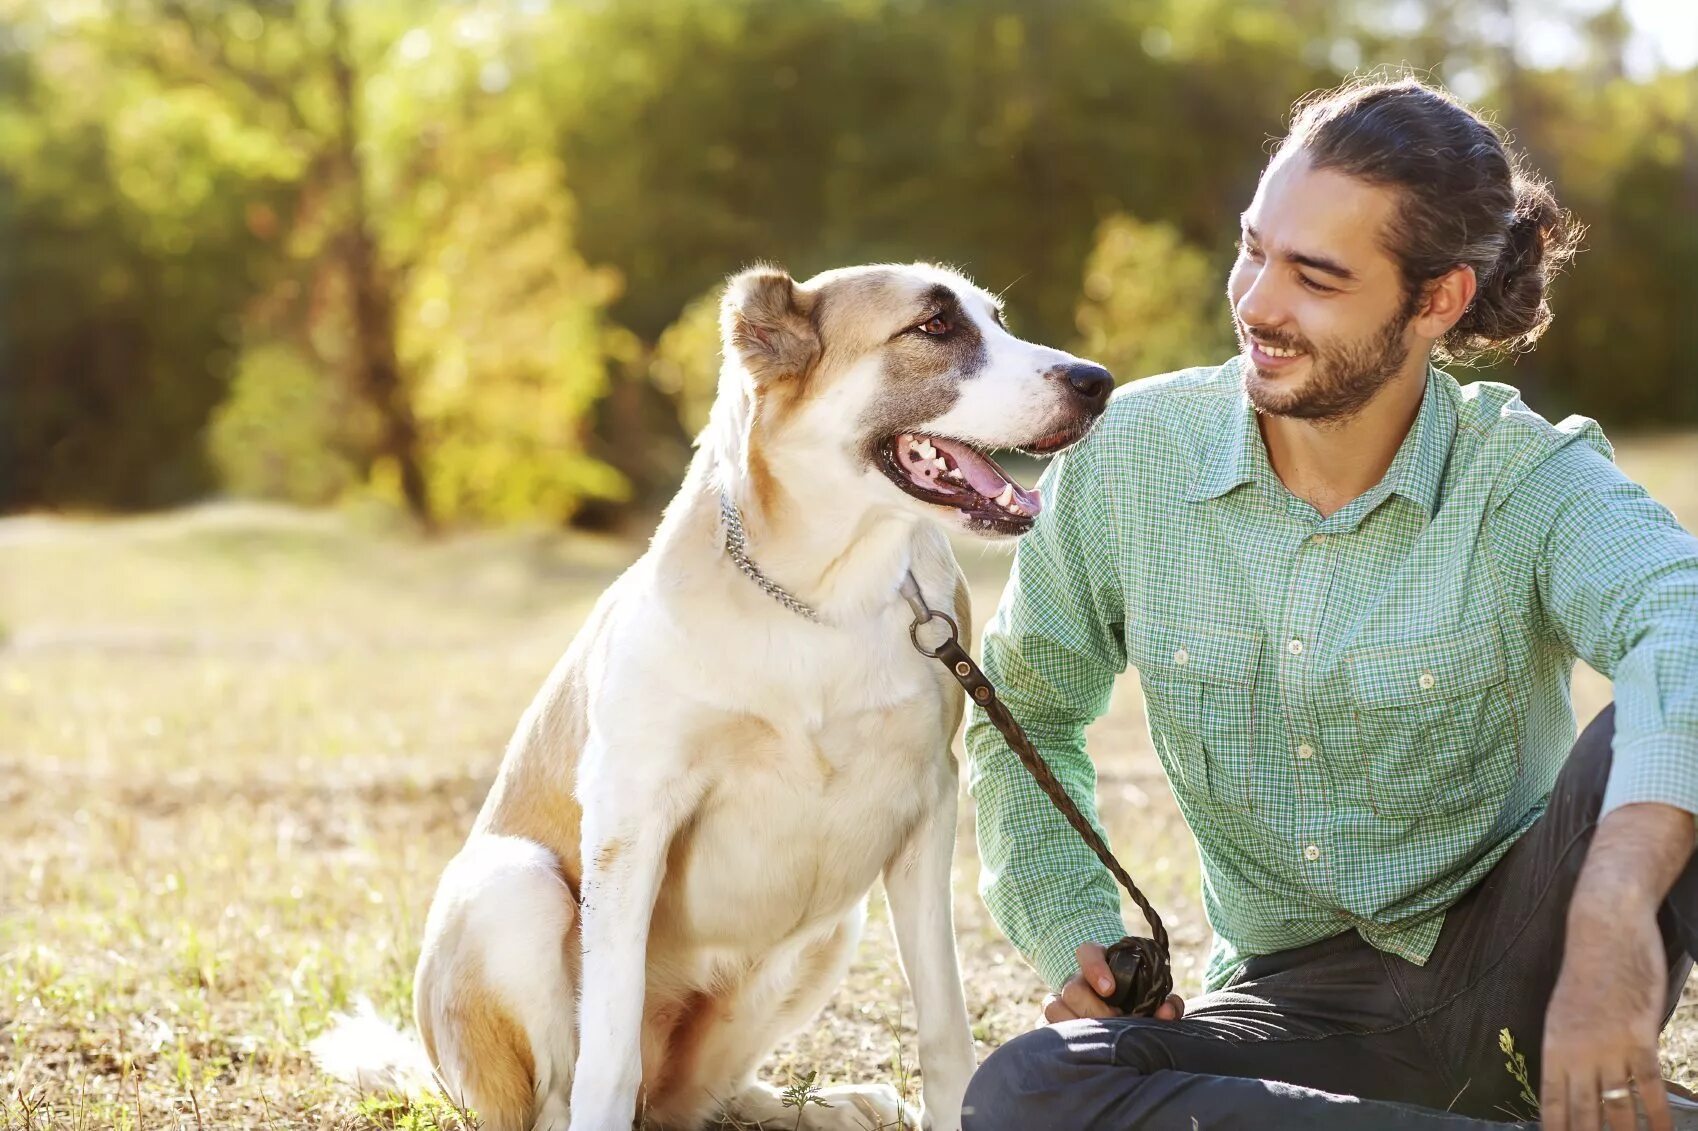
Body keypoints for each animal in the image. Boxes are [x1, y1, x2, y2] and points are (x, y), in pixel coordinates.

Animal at [317, 259, 1113, 1120]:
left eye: (995, 320)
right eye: (933, 327)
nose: (1097, 381)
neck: (822, 595)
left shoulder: (925, 809)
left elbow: (942, 1020)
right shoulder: (632, 817)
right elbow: (607, 1052)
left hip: (836, 923)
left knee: (703, 1100)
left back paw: (829, 1103)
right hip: (510, 885)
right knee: (567, 1094)